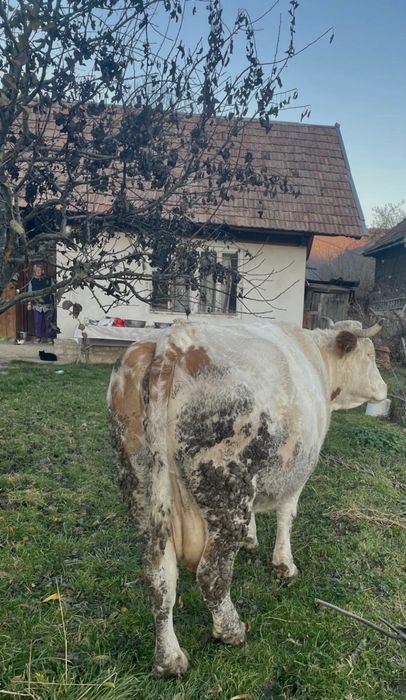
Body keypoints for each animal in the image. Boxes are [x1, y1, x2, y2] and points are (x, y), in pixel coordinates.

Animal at [108, 319, 386, 676]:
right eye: (369, 356)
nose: (383, 389)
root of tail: (174, 340)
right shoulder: (297, 470)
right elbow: (287, 516)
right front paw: (284, 565)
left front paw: (251, 539)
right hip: (226, 487)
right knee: (211, 574)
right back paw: (232, 630)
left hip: (142, 491)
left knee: (158, 578)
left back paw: (169, 659)